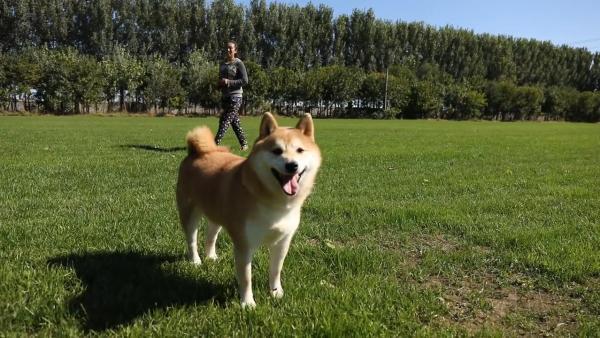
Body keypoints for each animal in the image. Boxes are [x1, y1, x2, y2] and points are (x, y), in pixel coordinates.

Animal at [176, 113, 322, 306]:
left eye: (300, 150)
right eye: (277, 151)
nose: (292, 165)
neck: (274, 202)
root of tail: (195, 152)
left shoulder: (283, 242)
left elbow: (276, 270)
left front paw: (276, 293)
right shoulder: (244, 245)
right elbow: (246, 278)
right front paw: (248, 304)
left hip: (218, 213)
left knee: (211, 236)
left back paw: (211, 257)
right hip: (189, 213)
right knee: (192, 239)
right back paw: (196, 260)